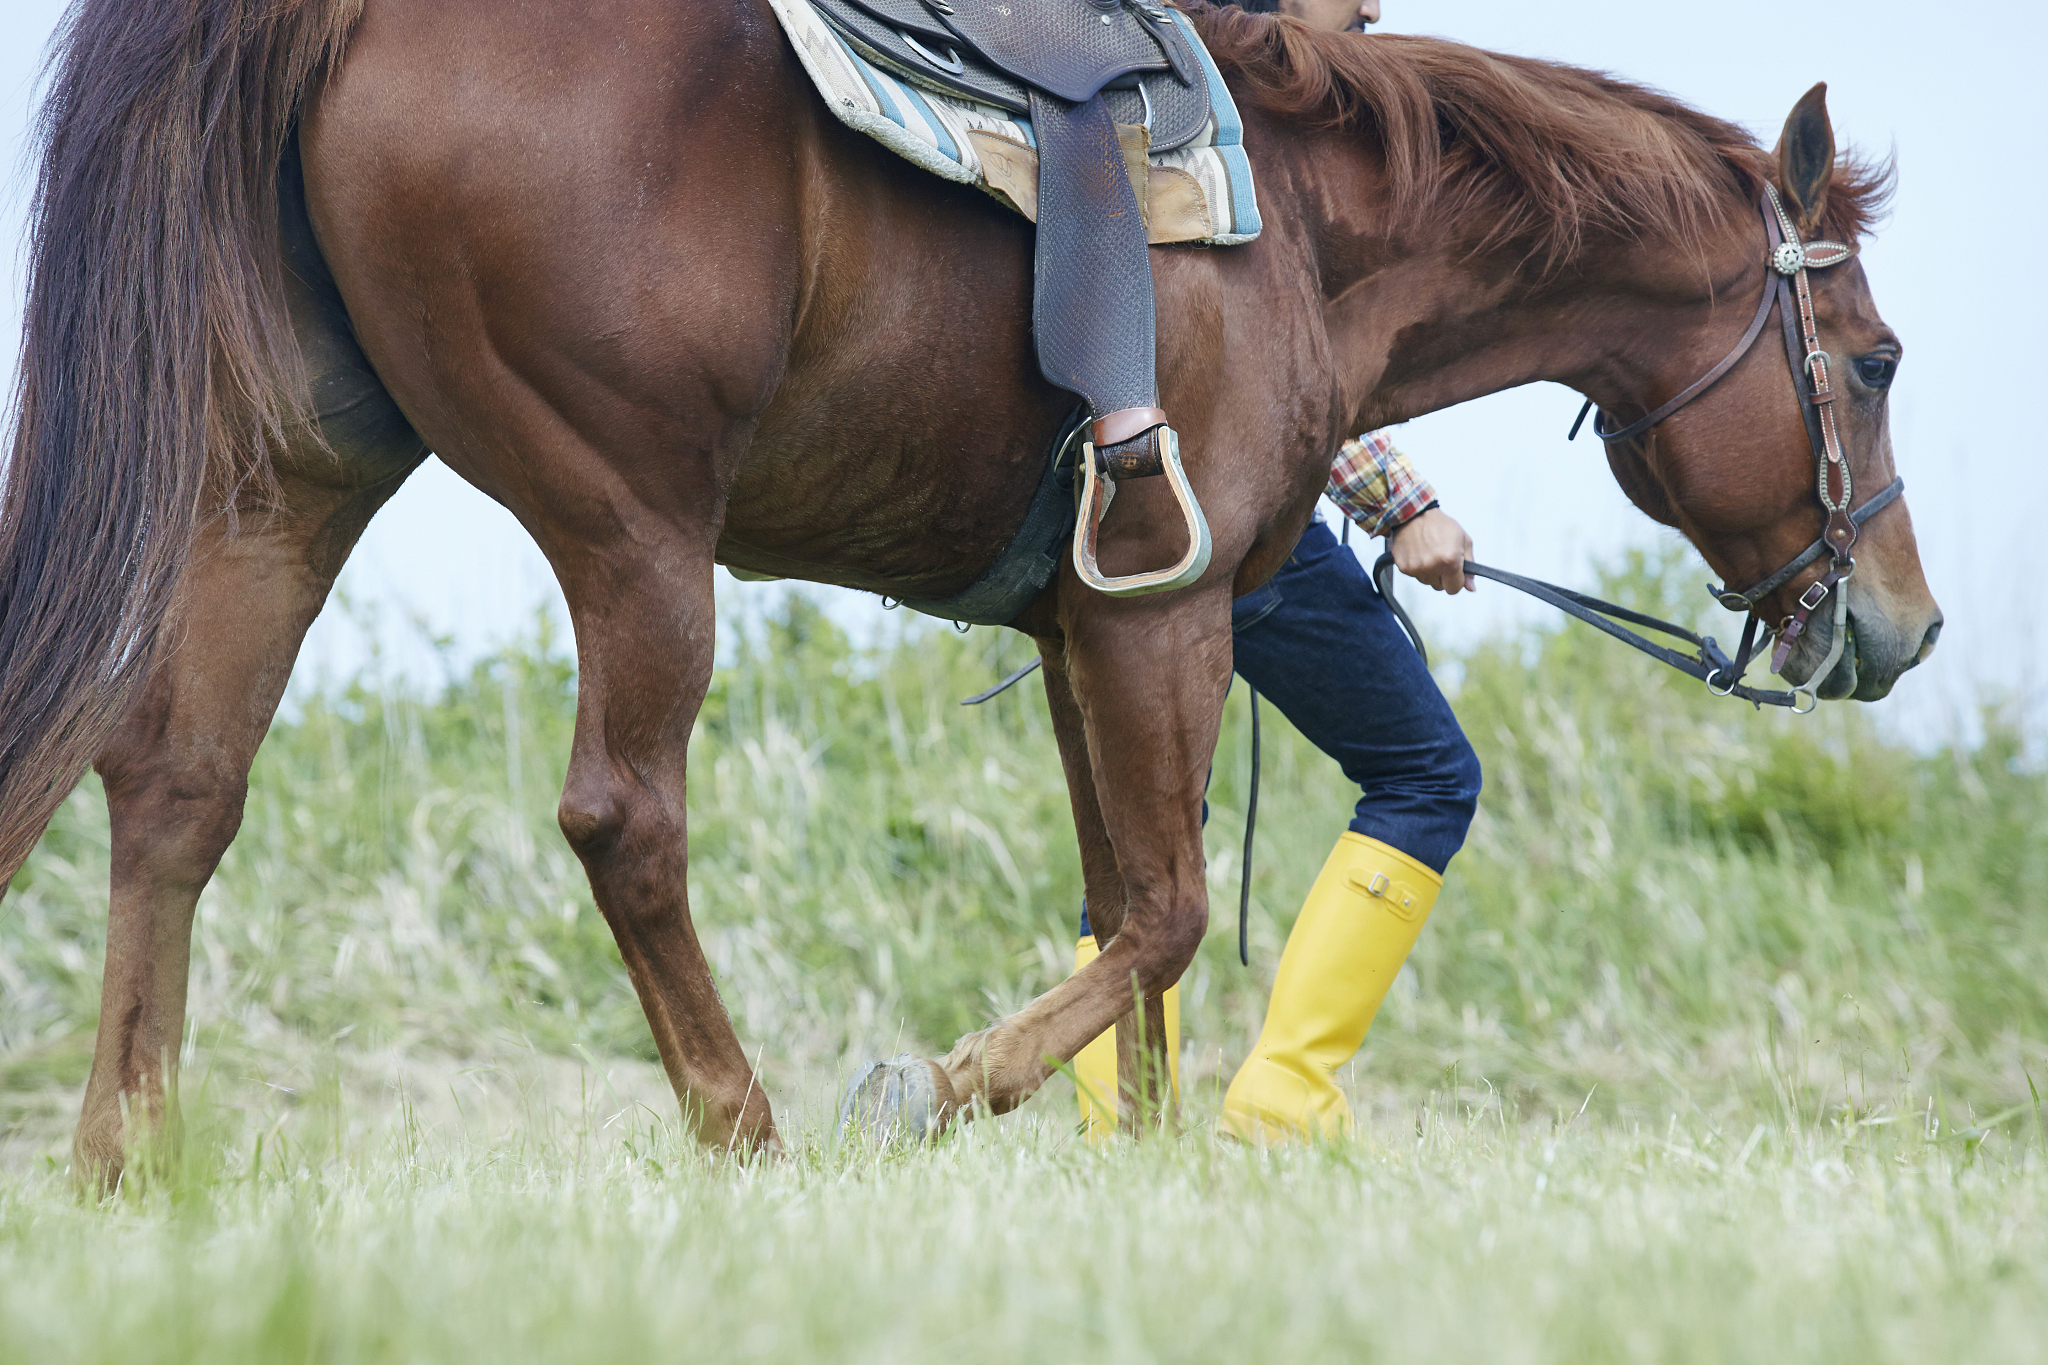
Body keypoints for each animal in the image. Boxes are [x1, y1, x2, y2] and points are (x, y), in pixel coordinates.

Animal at [0, 0, 1939, 1185]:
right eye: (1875, 358)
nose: (1902, 627)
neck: (1312, 229)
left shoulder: (1086, 630)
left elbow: (1122, 905)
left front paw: (1140, 1159)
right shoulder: (1159, 620)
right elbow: (1163, 912)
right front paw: (932, 1088)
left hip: (287, 485)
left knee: (176, 792)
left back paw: (124, 1161)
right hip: (634, 528)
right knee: (624, 816)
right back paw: (744, 1132)